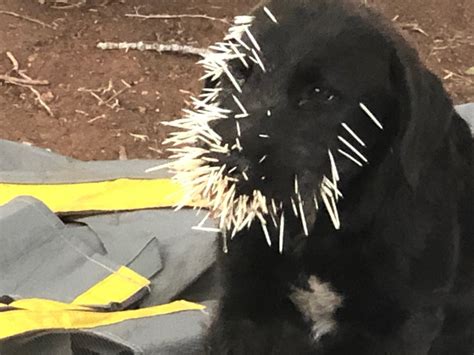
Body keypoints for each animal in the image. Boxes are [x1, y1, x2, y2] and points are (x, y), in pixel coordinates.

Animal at [181, 1, 474, 354]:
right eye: (238, 72)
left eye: (321, 93)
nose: (228, 158)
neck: (320, 227)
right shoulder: (244, 311)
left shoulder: (397, 326)